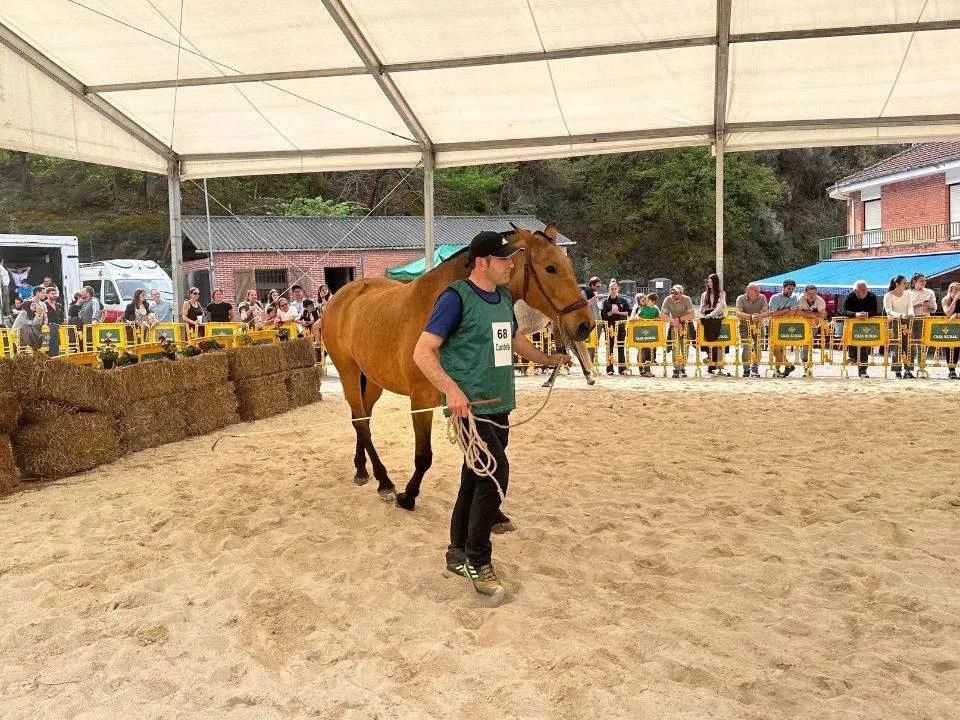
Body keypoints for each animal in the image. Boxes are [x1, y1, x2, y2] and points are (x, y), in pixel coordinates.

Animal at [321, 223, 594, 511]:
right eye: (551, 268)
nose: (584, 325)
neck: (433, 307)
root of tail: (340, 296)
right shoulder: (421, 400)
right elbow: (424, 456)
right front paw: (409, 496)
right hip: (348, 372)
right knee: (361, 421)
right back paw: (384, 481)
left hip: (373, 378)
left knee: (362, 418)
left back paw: (362, 469)